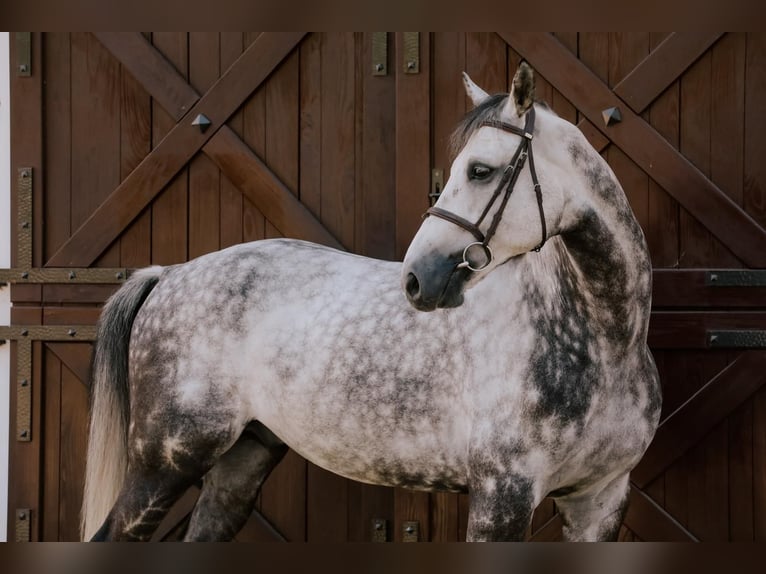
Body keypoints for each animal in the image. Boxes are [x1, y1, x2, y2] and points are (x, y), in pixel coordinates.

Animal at [82, 64, 660, 544]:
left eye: (480, 170)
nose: (417, 279)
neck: (600, 342)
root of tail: (169, 274)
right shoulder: (502, 498)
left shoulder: (599, 502)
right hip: (165, 460)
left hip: (240, 460)